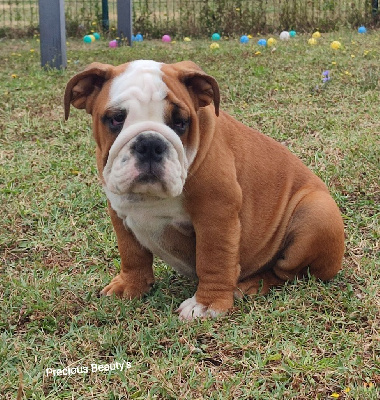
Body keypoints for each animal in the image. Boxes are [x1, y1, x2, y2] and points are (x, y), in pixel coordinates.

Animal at [64, 59, 344, 320]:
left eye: (181, 122)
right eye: (116, 119)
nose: (150, 143)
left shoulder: (215, 215)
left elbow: (214, 259)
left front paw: (207, 305)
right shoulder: (119, 212)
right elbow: (131, 254)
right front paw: (131, 286)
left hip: (317, 212)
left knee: (287, 273)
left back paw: (252, 284)